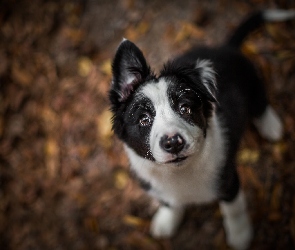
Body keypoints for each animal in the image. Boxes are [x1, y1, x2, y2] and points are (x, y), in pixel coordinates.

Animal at [109, 9, 295, 250]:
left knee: (260, 102)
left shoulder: (228, 179)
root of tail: (225, 47)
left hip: (252, 81)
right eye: (143, 120)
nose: (173, 143)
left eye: (185, 108)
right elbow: (169, 202)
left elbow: (233, 210)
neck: (180, 173)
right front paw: (166, 221)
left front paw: (241, 236)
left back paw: (271, 126)